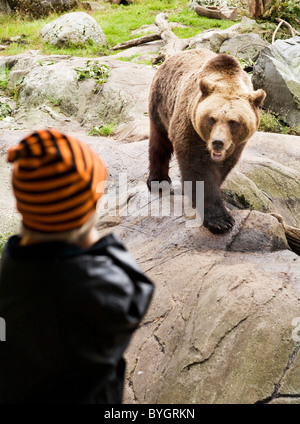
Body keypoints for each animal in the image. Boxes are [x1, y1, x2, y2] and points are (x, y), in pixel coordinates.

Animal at [146, 50, 266, 235]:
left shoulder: (236, 146)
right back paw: (158, 181)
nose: (218, 142)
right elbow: (199, 170)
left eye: (233, 122)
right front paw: (220, 221)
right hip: (161, 104)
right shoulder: (190, 126)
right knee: (159, 143)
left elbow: (222, 168)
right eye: (211, 118)